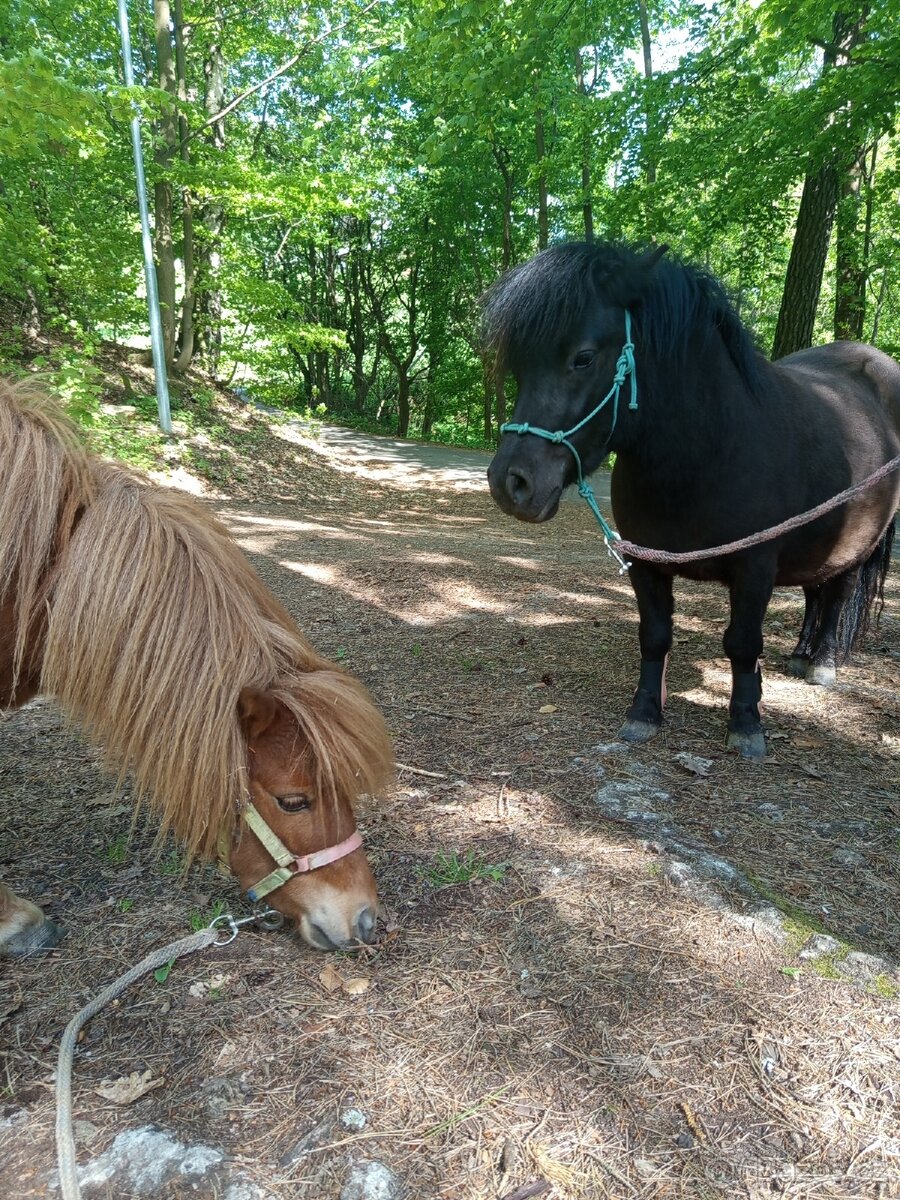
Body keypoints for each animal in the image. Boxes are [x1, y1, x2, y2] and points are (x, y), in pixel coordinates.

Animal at [483, 242, 900, 758]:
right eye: (519, 366)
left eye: (583, 358)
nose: (510, 483)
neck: (709, 448)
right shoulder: (645, 562)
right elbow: (654, 636)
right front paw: (644, 712)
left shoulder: (755, 566)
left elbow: (742, 643)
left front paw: (746, 724)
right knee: (813, 590)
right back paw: (801, 654)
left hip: (857, 544)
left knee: (838, 594)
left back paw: (821, 661)